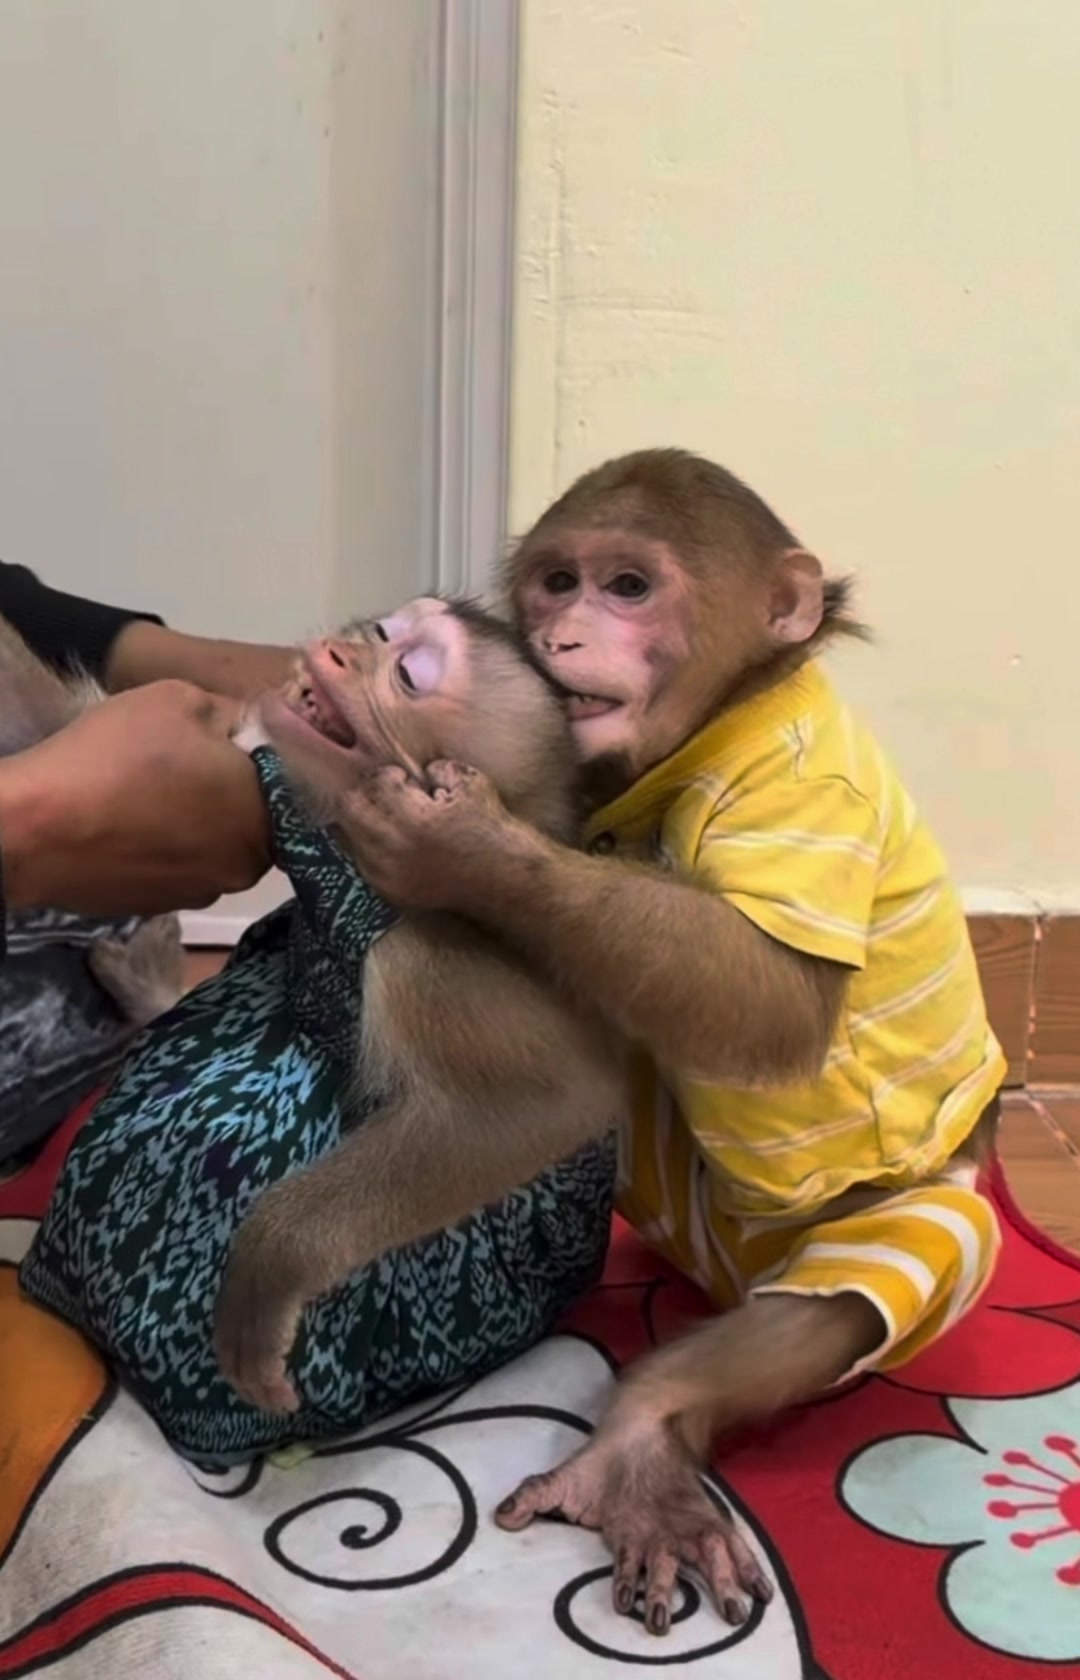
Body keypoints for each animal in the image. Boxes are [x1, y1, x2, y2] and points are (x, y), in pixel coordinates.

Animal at [212, 595, 628, 1416]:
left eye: (407, 676)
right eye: (381, 634)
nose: (337, 654)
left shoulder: (432, 956)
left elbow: (554, 1100)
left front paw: (275, 1256)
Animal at [333, 448, 1006, 1637]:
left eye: (629, 588)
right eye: (558, 582)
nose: (562, 635)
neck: (717, 723)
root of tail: (727, 1270)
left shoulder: (798, 785)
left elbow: (772, 1003)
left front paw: (466, 850)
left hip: (900, 1207)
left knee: (885, 1265)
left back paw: (652, 1422)